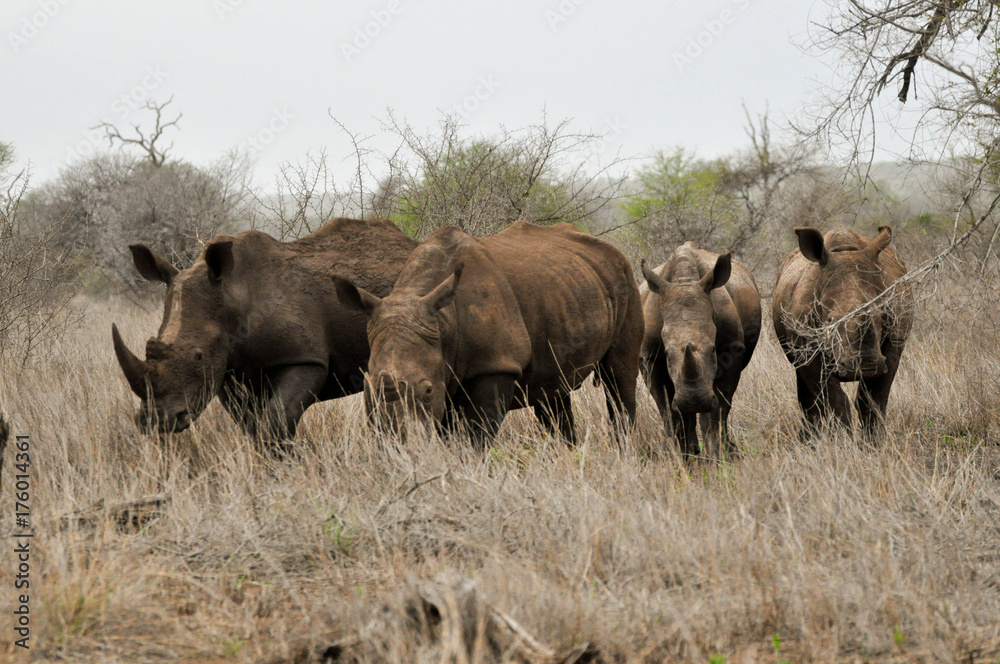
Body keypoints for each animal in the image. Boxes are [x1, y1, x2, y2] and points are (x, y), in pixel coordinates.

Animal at [112, 217, 418, 444]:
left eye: (198, 357)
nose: (155, 422)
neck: (234, 294)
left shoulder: (305, 358)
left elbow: (277, 419)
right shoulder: (227, 369)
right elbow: (249, 425)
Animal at [332, 221, 644, 446]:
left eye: (428, 390)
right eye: (367, 391)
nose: (396, 445)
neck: (444, 322)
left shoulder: (496, 365)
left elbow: (475, 437)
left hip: (626, 277)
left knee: (619, 375)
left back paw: (622, 452)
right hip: (569, 289)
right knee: (553, 392)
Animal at [639, 244, 761, 460]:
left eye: (712, 350)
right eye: (667, 353)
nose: (693, 401)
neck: (684, 281)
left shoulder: (731, 348)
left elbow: (717, 411)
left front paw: (718, 457)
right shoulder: (649, 356)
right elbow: (668, 411)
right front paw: (676, 457)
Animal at [772, 225, 912, 437]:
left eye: (882, 316)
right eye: (830, 321)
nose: (866, 366)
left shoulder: (894, 344)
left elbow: (874, 399)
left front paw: (874, 442)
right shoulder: (806, 350)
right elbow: (834, 398)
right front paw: (844, 440)